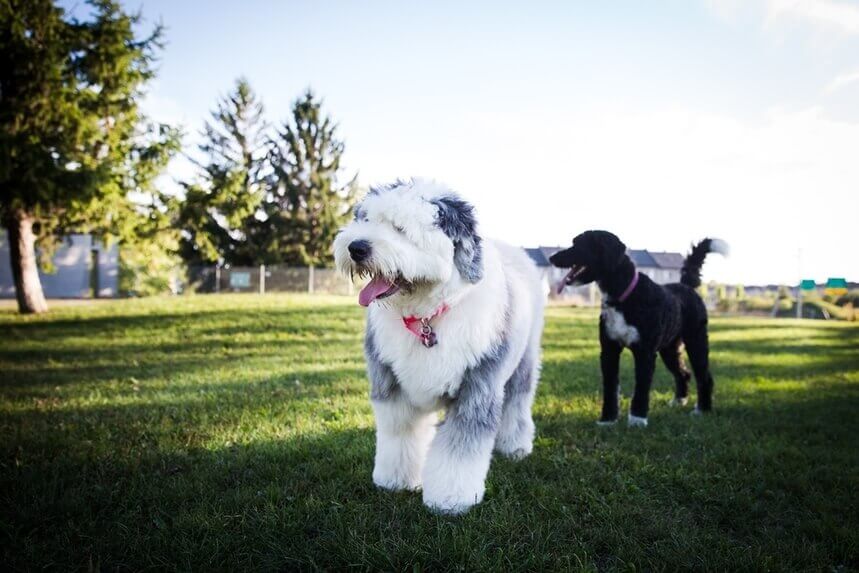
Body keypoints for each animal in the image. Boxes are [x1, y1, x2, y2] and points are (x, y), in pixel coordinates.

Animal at [332, 179, 548, 512]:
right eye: (365, 220)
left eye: (400, 228)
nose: (356, 247)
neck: (426, 316)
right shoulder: (392, 388)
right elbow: (399, 436)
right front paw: (395, 481)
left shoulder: (477, 387)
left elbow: (459, 449)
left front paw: (450, 498)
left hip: (523, 363)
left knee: (517, 403)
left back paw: (515, 446)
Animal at [552, 231, 724, 424]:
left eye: (578, 244)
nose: (551, 257)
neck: (623, 296)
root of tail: (686, 285)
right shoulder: (609, 350)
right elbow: (610, 388)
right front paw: (607, 419)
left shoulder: (645, 352)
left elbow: (641, 387)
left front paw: (637, 419)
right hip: (670, 349)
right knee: (683, 373)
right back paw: (679, 400)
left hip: (696, 341)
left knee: (704, 377)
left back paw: (702, 409)